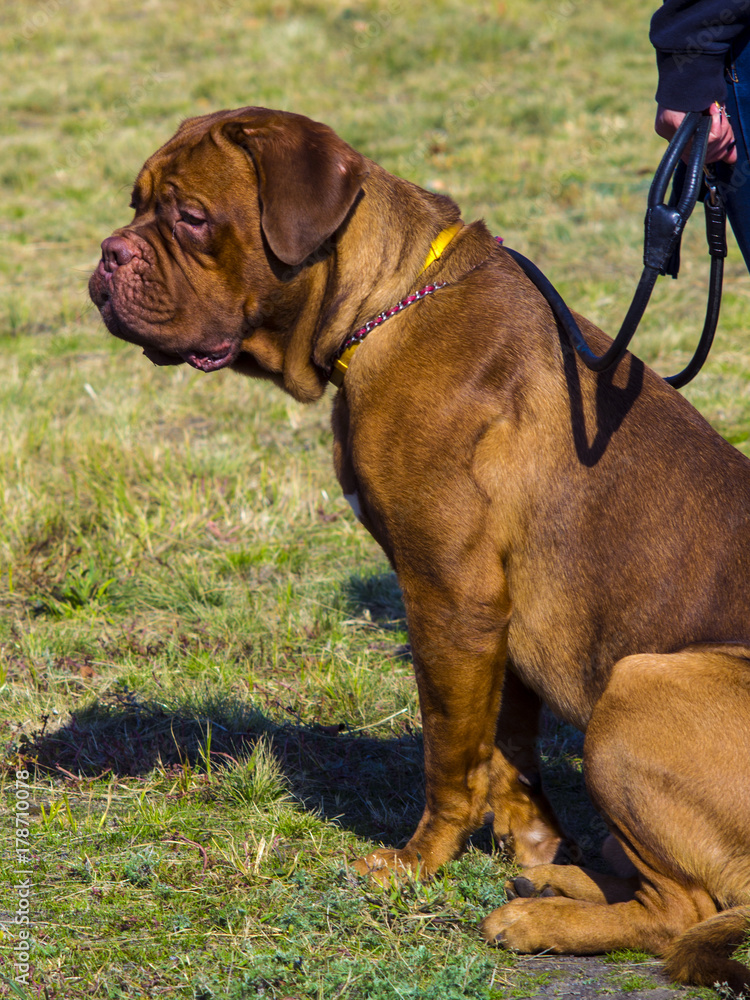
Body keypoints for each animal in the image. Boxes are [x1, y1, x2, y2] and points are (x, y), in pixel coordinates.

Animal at [91, 107, 750, 984]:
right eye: (136, 205)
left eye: (192, 218)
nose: (109, 253)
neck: (387, 306)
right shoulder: (496, 616)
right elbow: (506, 748)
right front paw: (533, 844)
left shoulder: (449, 596)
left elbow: (449, 751)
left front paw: (415, 863)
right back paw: (564, 876)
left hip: (641, 687)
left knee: (684, 912)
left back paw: (535, 919)